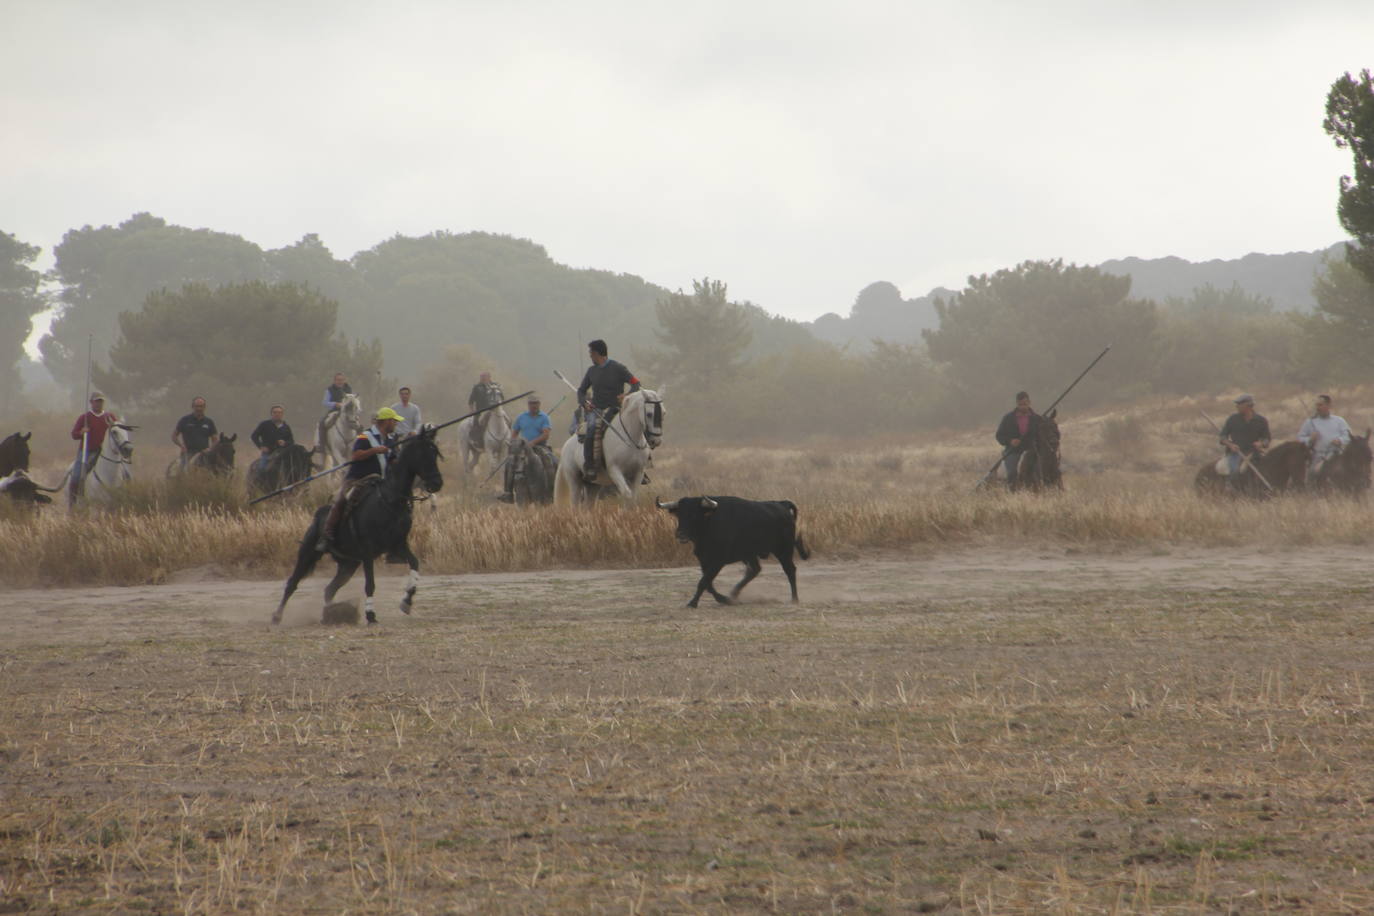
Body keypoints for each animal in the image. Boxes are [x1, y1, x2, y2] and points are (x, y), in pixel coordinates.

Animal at [267, 425, 439, 626]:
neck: (389, 500)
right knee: (292, 583)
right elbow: (370, 584)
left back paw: (331, 613)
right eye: (423, 454)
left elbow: (415, 564)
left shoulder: (398, 545)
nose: (437, 483)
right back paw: (277, 616)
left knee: (329, 589)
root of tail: (318, 517)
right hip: (308, 554)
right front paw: (370, 615)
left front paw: (407, 601)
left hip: (348, 565)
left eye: (435, 453)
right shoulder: (367, 552)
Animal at [659, 494, 807, 609]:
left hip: (783, 551)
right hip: (749, 554)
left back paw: (794, 599)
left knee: (790, 570)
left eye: (695, 514)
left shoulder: (718, 561)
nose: (681, 534)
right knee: (754, 570)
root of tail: (782, 504)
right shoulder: (704, 561)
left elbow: (703, 582)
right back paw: (734, 594)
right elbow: (708, 584)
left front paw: (693, 603)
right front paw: (725, 599)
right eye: (679, 514)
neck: (710, 523)